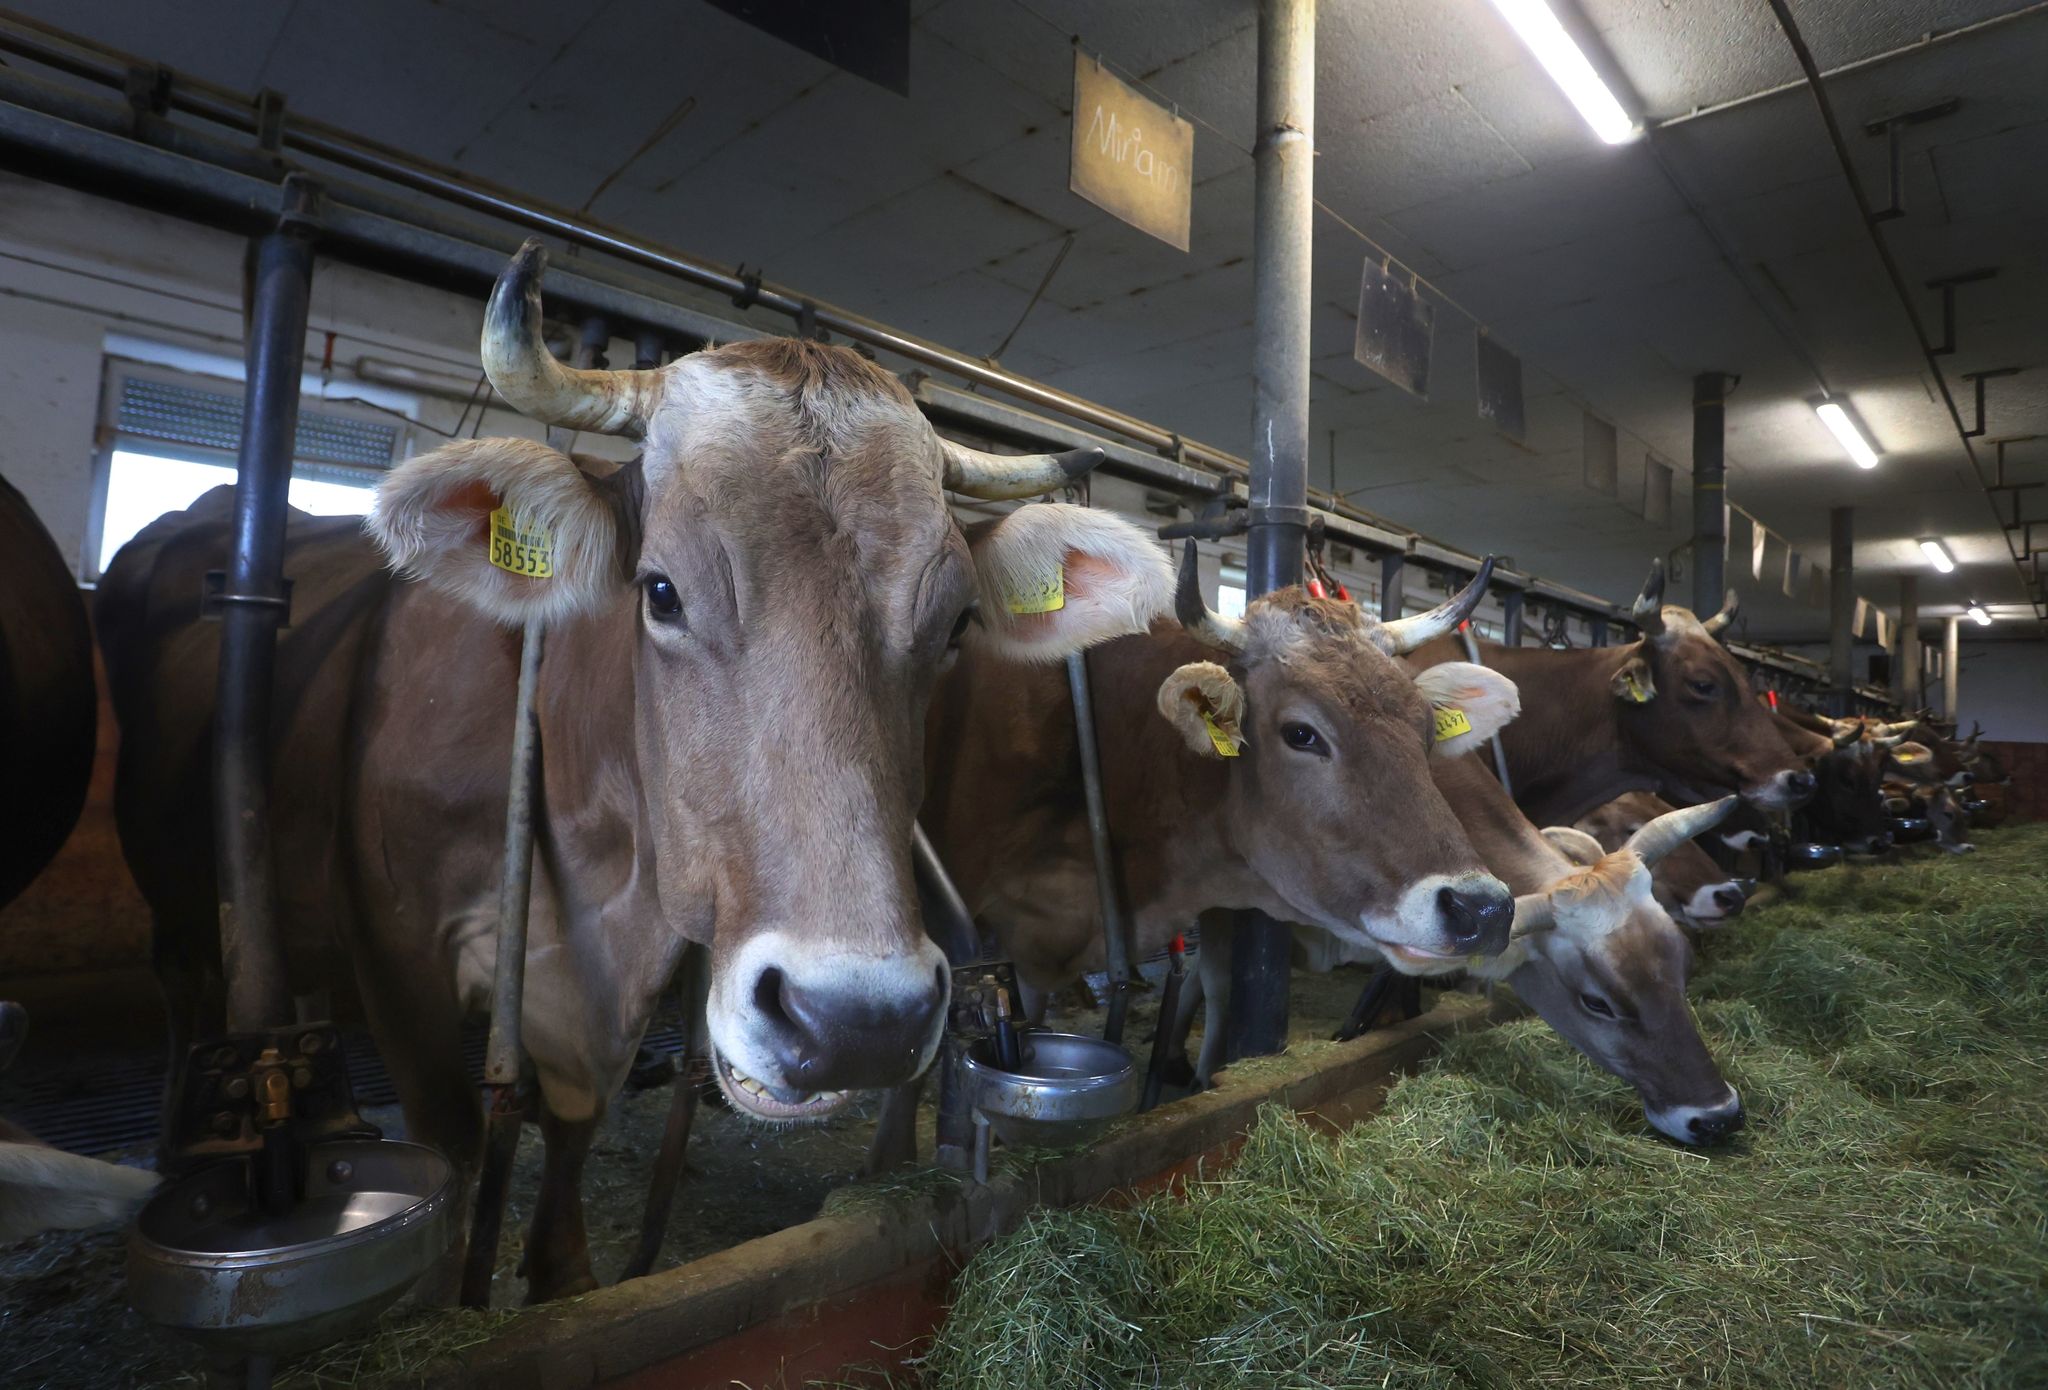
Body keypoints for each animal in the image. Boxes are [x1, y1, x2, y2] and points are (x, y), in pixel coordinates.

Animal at [97, 241, 1178, 1302]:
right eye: (659, 590)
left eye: (956, 624)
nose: (858, 1021)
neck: (590, 859)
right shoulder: (397, 957)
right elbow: (453, 1143)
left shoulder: (612, 980)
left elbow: (574, 1127)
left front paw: (564, 1271)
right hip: (168, 864)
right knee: (184, 977)